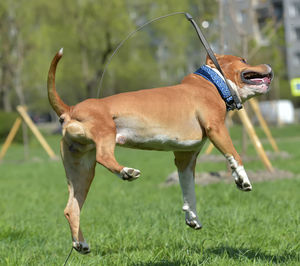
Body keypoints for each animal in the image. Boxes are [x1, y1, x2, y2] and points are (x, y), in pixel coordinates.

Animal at [46, 48, 272, 255]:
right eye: (243, 60)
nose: (268, 66)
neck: (213, 82)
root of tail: (71, 109)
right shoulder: (216, 128)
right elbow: (235, 155)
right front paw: (243, 179)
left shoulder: (186, 157)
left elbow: (188, 189)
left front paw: (192, 216)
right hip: (105, 132)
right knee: (104, 157)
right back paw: (126, 172)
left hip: (81, 170)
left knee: (71, 208)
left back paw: (81, 244)